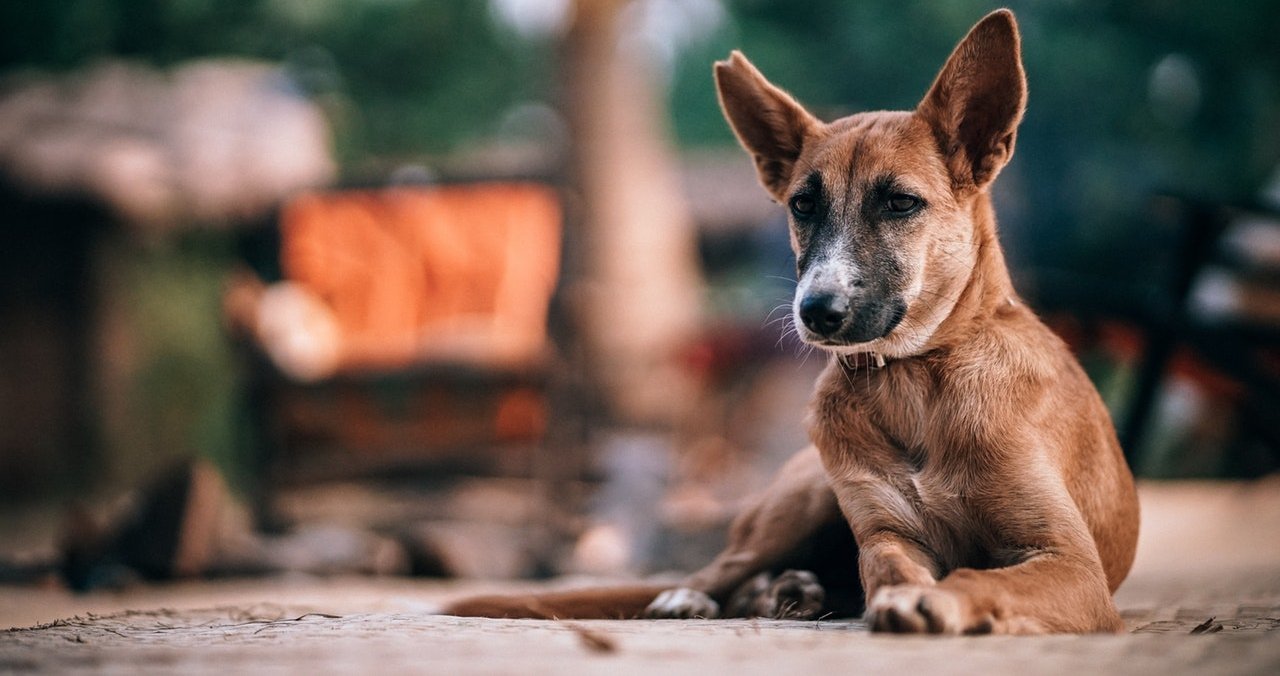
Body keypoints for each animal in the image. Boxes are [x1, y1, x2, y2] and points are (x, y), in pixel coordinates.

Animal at [442, 9, 1141, 635]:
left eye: (900, 203)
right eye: (803, 205)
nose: (816, 311)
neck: (915, 380)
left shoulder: (1070, 563)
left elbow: (979, 575)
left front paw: (937, 601)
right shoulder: (886, 533)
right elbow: (887, 567)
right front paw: (902, 595)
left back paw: (790, 593)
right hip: (803, 499)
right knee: (720, 568)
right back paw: (706, 596)